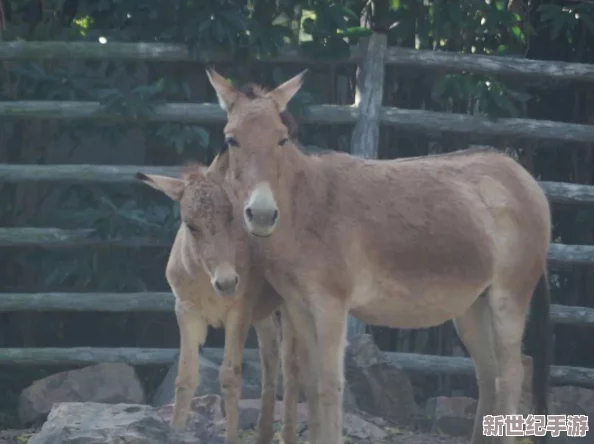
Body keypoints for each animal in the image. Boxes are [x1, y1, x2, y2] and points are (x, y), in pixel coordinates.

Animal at [135, 159, 300, 444]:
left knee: (292, 366)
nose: (227, 282)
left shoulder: (238, 312)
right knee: (271, 357)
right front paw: (174, 432)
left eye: (230, 216)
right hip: (263, 314)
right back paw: (264, 433)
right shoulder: (186, 311)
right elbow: (185, 377)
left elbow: (230, 377)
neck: (205, 278)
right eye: (190, 225)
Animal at [206, 67, 552, 444]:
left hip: (509, 296)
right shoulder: (298, 305)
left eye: (282, 140)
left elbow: (330, 385)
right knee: (489, 375)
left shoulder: (331, 304)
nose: (262, 215)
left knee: (513, 374)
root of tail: (521, 173)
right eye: (231, 140)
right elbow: (310, 383)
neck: (303, 207)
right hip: (473, 306)